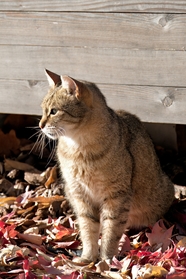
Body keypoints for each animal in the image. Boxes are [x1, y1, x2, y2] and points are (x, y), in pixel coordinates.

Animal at [38, 69, 174, 264]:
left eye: (54, 111)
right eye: (43, 110)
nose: (40, 125)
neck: (78, 148)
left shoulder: (116, 196)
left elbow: (111, 230)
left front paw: (107, 259)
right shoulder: (80, 195)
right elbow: (88, 229)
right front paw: (88, 257)